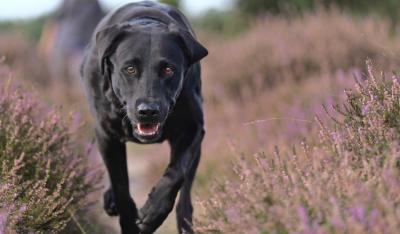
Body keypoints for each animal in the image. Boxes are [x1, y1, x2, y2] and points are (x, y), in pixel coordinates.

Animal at [80, 0, 208, 233]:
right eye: (130, 69)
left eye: (168, 70)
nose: (148, 111)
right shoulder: (106, 134)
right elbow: (121, 186)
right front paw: (129, 219)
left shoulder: (193, 128)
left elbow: (177, 171)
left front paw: (153, 212)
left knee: (185, 199)